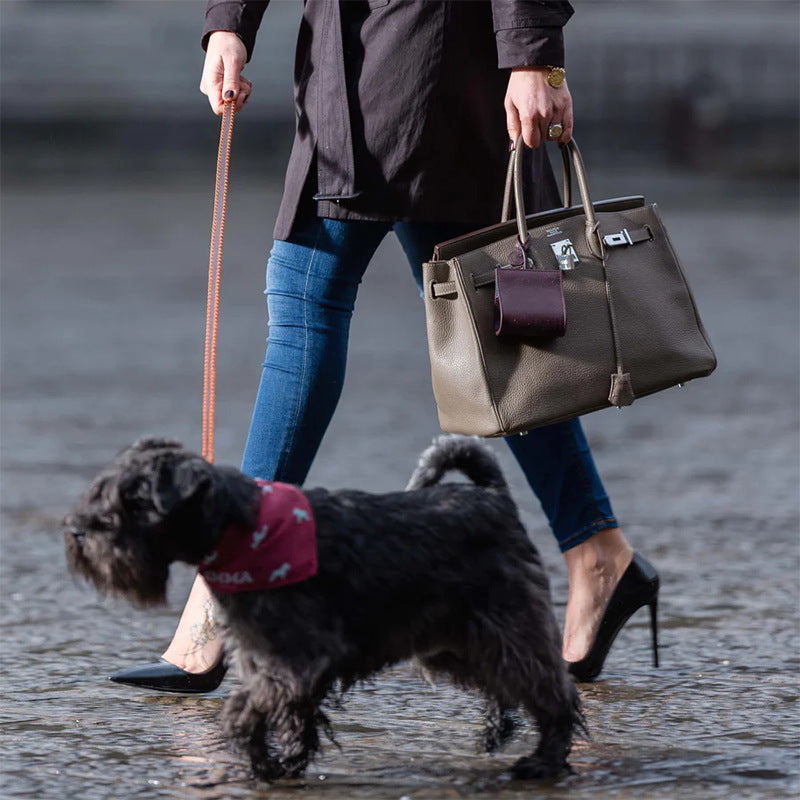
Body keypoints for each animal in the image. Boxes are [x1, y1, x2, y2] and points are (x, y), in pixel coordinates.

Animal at [64, 438, 580, 780]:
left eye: (135, 500)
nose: (77, 531)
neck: (238, 530)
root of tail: (493, 496)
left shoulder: (295, 659)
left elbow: (247, 709)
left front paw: (264, 761)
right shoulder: (274, 660)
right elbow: (293, 715)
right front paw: (284, 763)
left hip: (507, 626)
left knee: (553, 690)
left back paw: (544, 761)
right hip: (451, 645)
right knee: (505, 685)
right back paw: (500, 733)